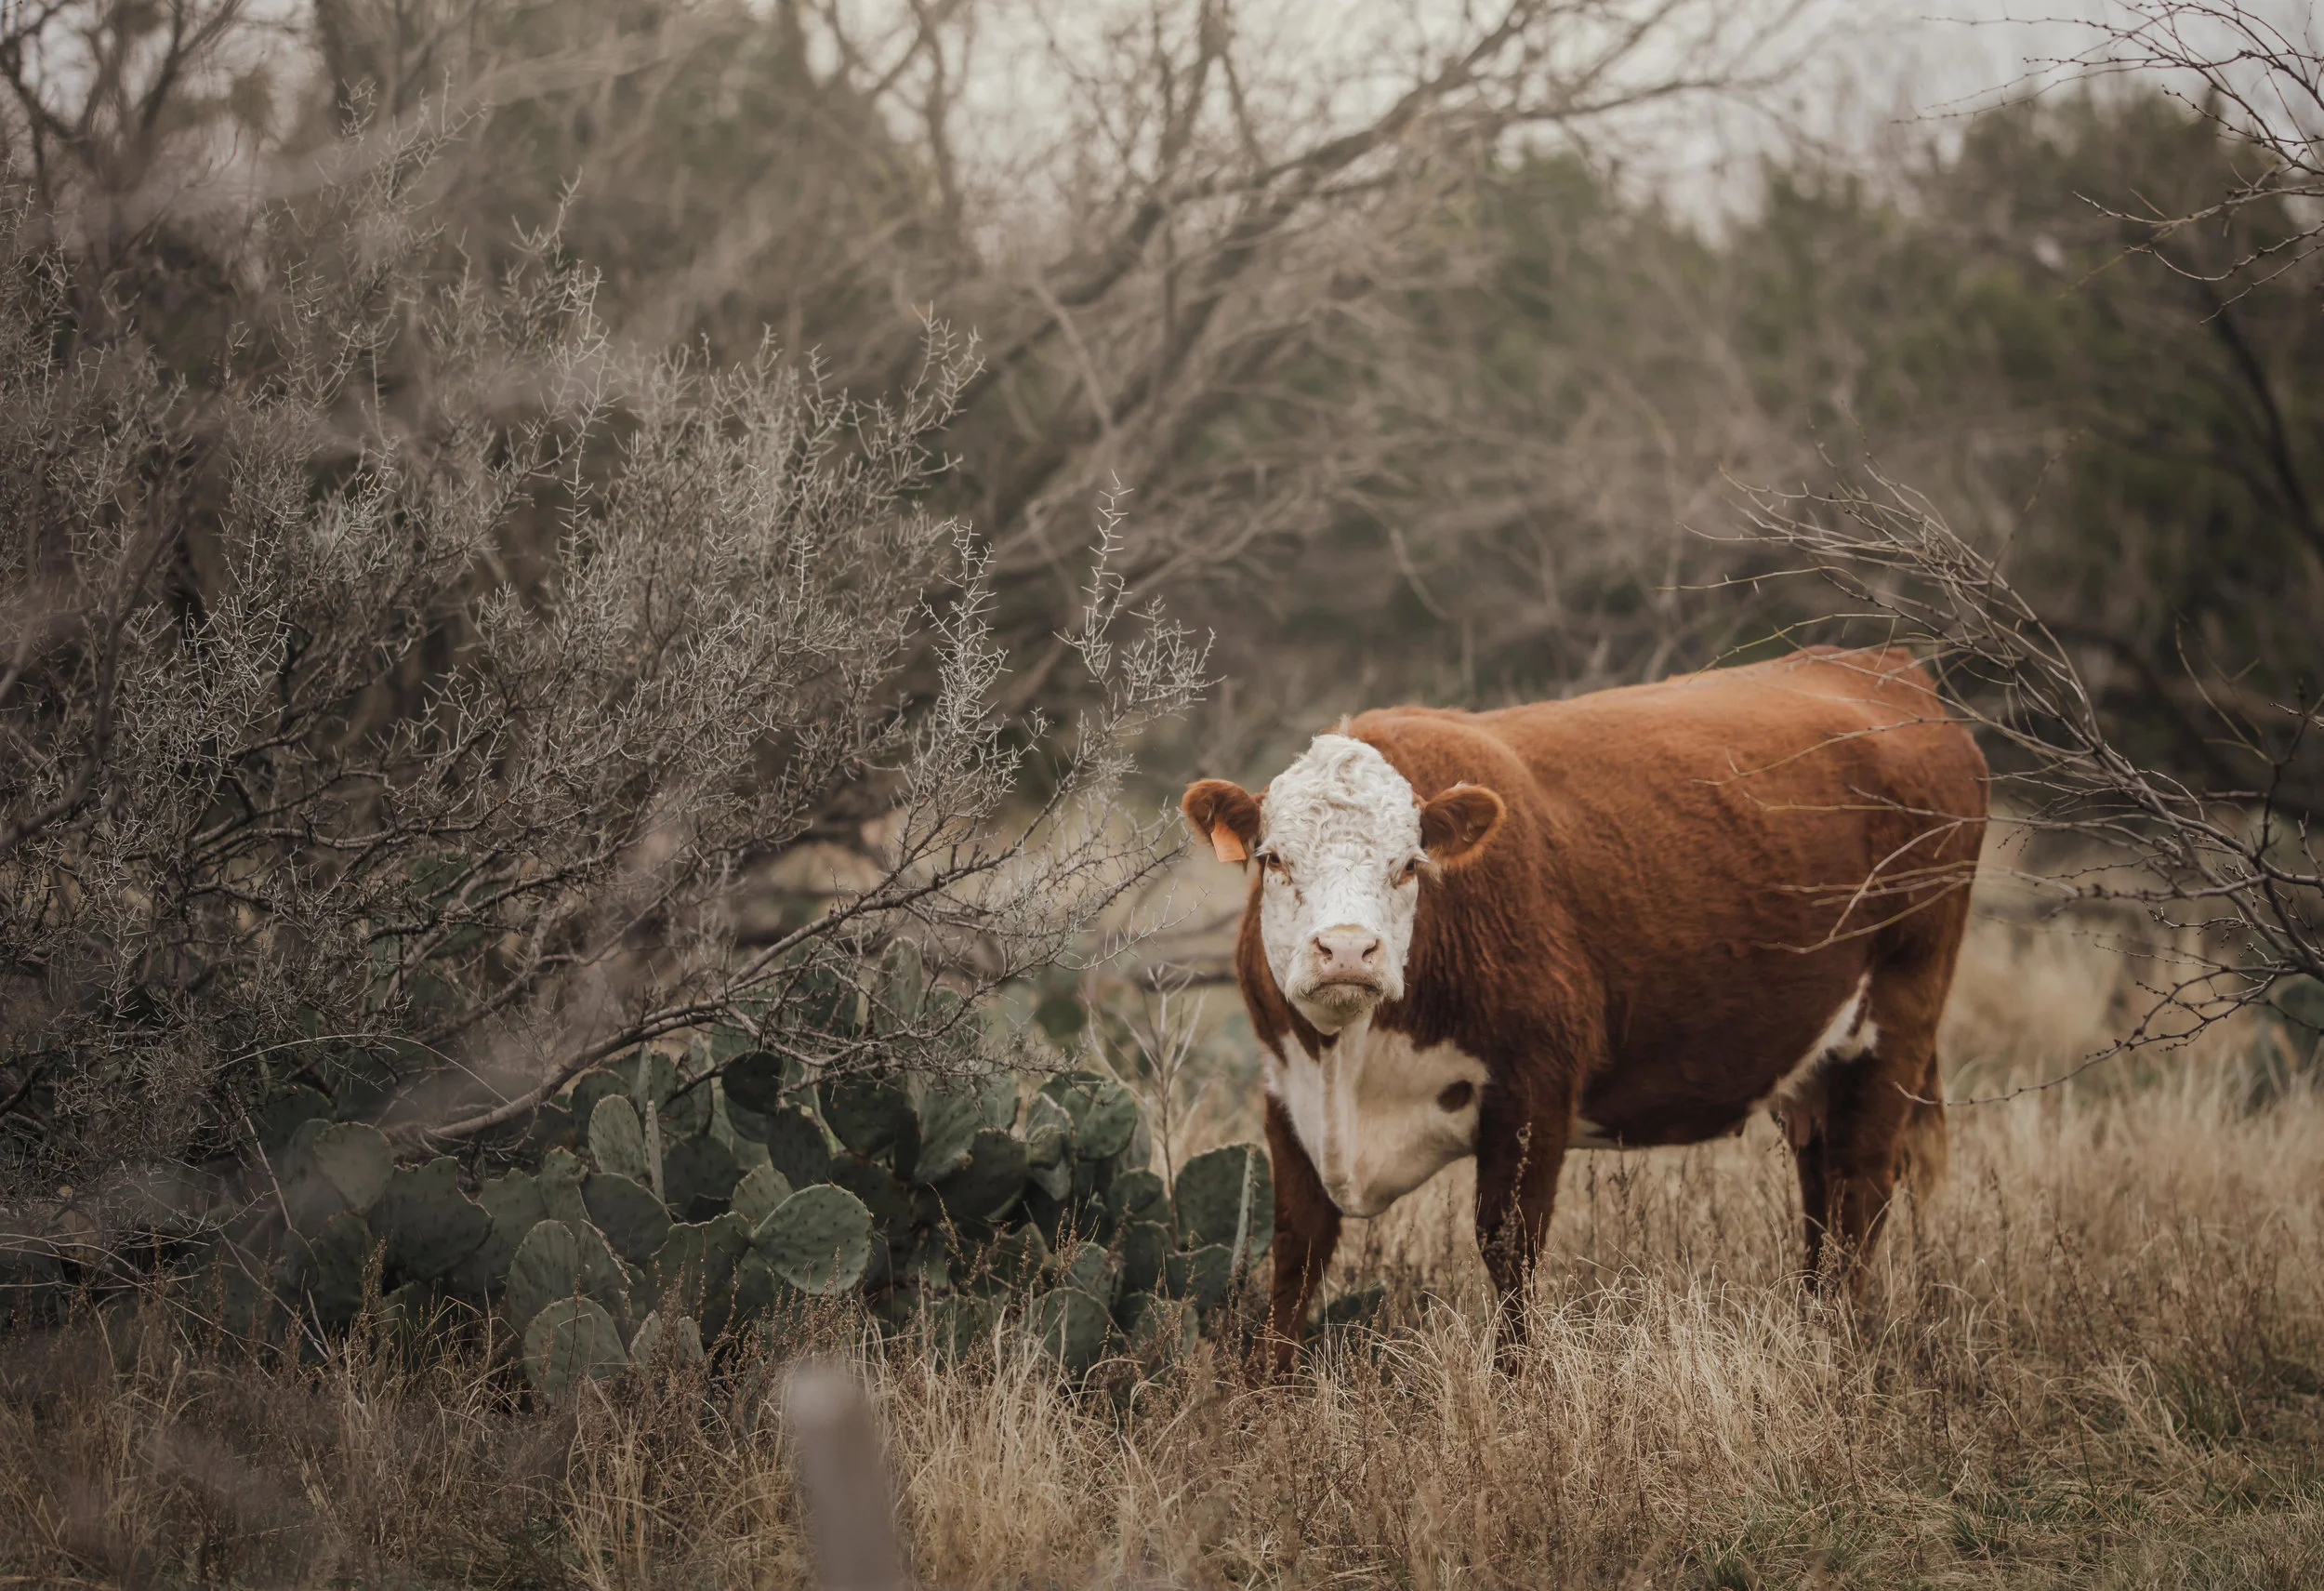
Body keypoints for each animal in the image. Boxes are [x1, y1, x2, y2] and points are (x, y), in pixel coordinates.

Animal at [1180, 646, 1988, 1370]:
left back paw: (1840, 1347)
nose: (1347, 949)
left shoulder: (1536, 1086)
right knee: (1822, 1188)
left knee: (1860, 1184)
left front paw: (1514, 1383)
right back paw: (1813, 1328)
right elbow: (1296, 1249)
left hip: (1897, 1018)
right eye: (1273, 858)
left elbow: (1508, 1245)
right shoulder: (1287, 1092)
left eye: (1409, 864)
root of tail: (1883, 666)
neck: (1350, 1068)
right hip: (1820, 1061)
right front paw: (1268, 1394)